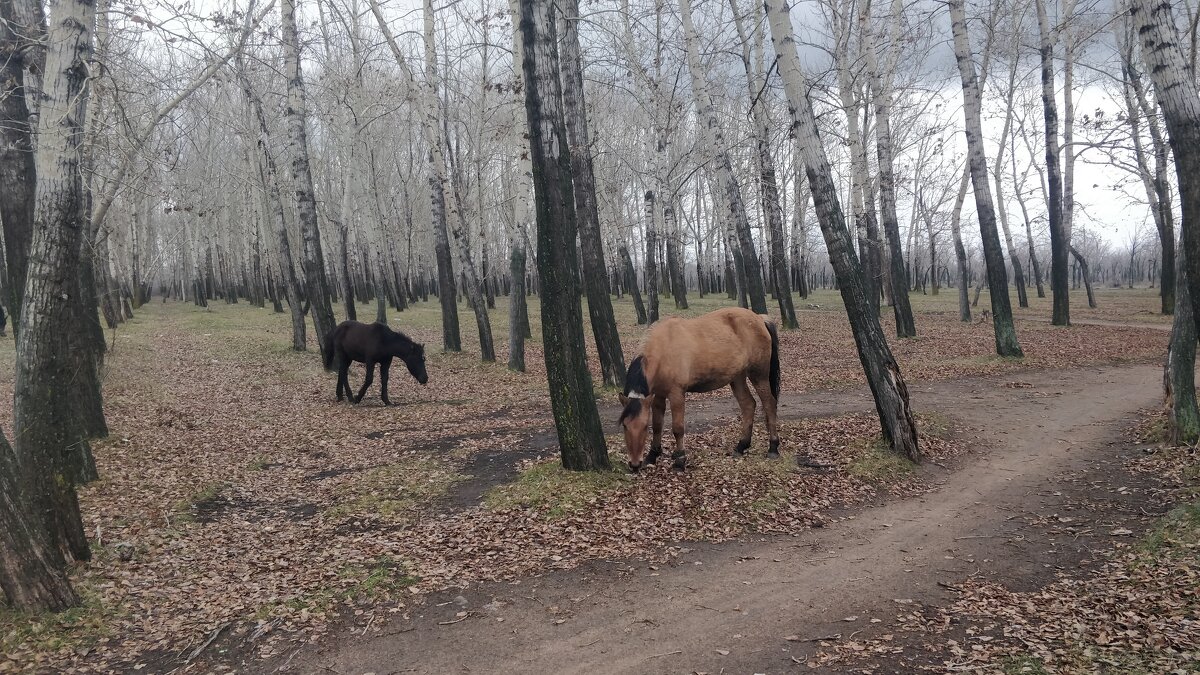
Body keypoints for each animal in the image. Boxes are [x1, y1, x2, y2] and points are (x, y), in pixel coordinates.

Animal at [619, 306, 777, 470]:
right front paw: (652, 455)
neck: (663, 348)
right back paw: (741, 446)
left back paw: (773, 447)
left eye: (644, 426)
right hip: (737, 378)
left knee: (769, 404)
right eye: (625, 425)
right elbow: (657, 425)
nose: (634, 464)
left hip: (759, 375)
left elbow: (678, 428)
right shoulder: (658, 396)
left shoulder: (676, 394)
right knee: (748, 405)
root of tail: (759, 318)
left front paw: (679, 460)